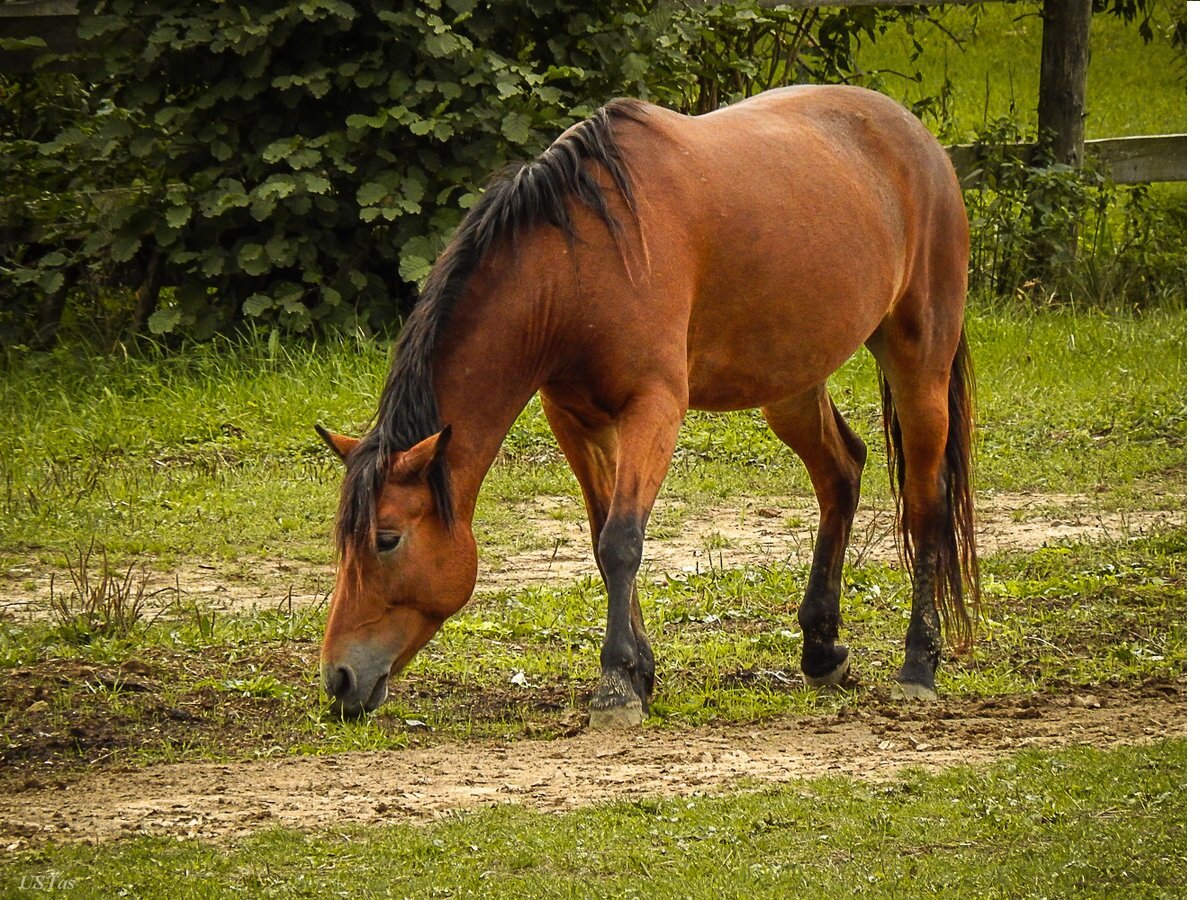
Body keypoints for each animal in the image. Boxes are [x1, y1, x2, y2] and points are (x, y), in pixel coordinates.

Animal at [316, 86, 974, 724]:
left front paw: (615, 688)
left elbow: (622, 540)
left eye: (386, 539)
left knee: (926, 499)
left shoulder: (653, 409)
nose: (339, 679)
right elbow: (600, 538)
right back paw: (820, 649)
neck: (577, 264)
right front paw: (640, 672)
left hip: (918, 361)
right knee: (842, 471)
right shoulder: (575, 419)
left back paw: (918, 664)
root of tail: (920, 142)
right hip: (792, 383)